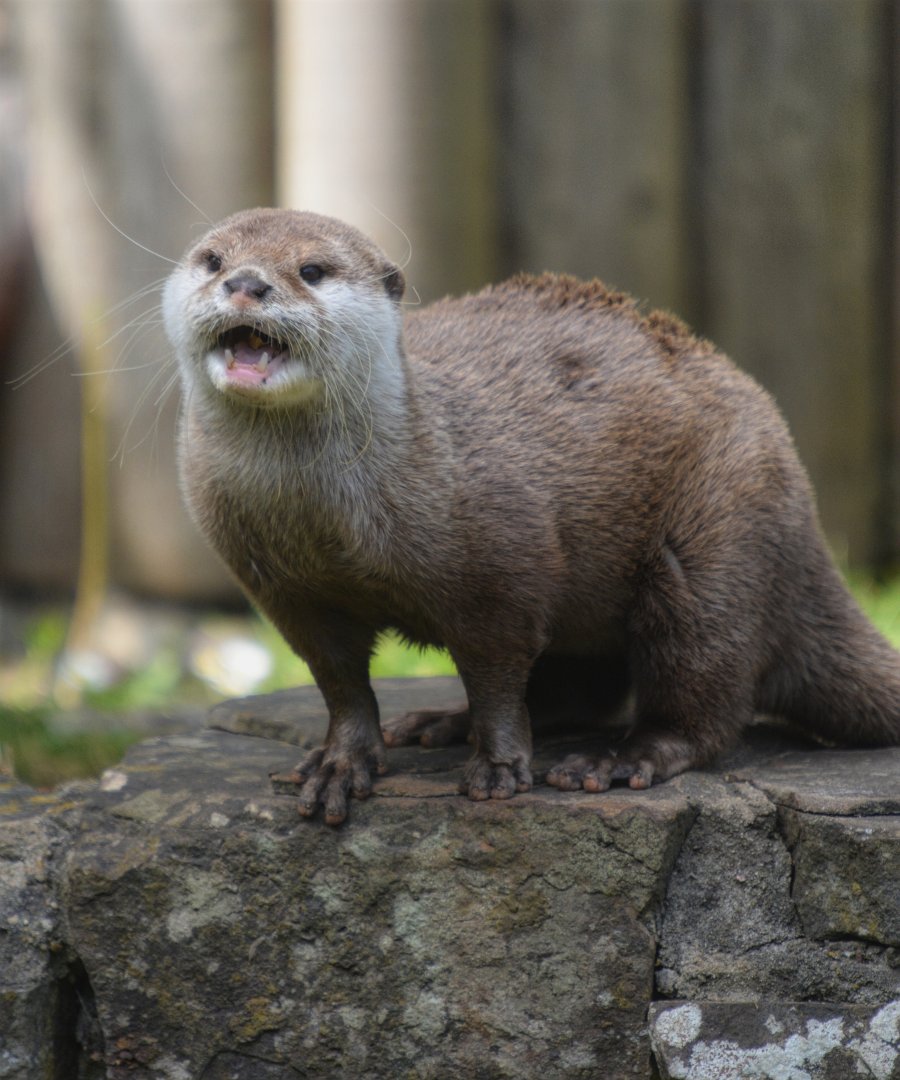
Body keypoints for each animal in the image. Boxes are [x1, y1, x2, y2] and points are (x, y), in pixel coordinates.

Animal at [163, 207, 900, 825]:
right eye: (213, 259)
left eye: (312, 270)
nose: (247, 284)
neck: (328, 525)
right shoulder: (287, 592)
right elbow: (339, 681)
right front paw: (340, 761)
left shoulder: (502, 565)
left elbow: (497, 668)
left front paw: (497, 767)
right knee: (580, 688)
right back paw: (436, 721)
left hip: (718, 540)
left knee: (702, 698)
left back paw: (617, 759)